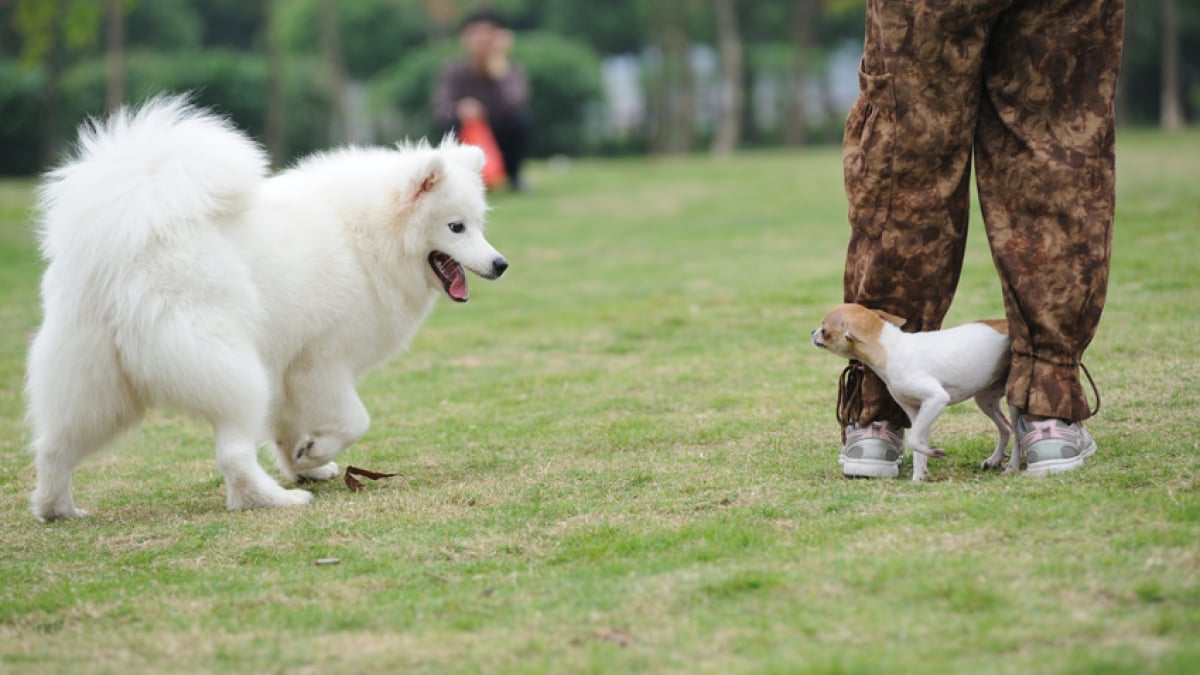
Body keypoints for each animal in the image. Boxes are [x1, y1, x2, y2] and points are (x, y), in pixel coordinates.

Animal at [28, 97, 506, 516]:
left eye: (480, 224)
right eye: (456, 227)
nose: (500, 264)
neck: (366, 237)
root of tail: (129, 243)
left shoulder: (285, 367)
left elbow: (284, 430)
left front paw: (303, 463)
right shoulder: (320, 364)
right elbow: (355, 421)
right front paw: (314, 454)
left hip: (95, 387)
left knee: (53, 448)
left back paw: (58, 510)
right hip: (234, 373)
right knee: (233, 455)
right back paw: (274, 499)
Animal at [811, 302, 1017, 480]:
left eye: (824, 329)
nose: (812, 332)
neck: (891, 349)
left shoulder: (936, 399)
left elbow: (914, 440)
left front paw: (934, 453)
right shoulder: (917, 410)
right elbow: (919, 445)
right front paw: (919, 477)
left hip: (1013, 395)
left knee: (1018, 434)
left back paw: (1012, 467)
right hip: (985, 399)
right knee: (1006, 428)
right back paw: (995, 459)